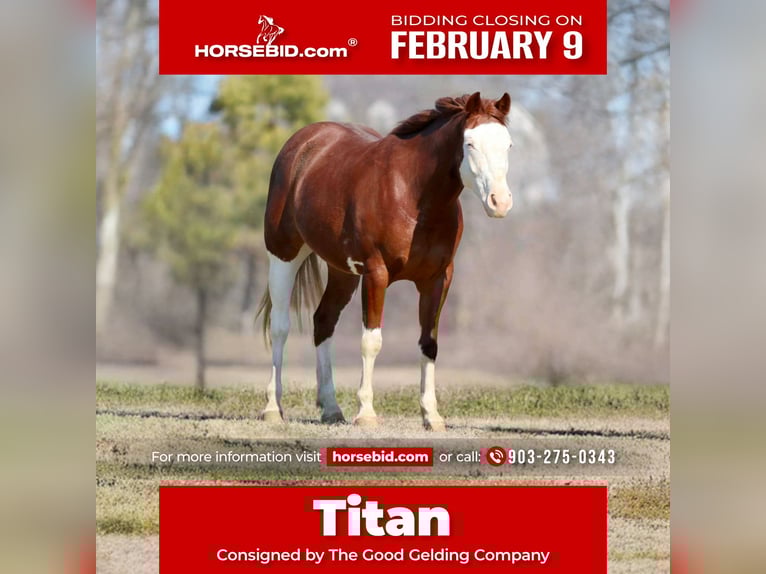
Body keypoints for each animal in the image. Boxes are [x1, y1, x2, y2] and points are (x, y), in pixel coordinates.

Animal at [256, 92, 514, 430]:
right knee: (280, 327)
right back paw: (273, 408)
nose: (500, 202)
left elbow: (429, 343)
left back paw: (331, 408)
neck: (412, 195)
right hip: (283, 255)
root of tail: (301, 144)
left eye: (508, 144)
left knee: (323, 321)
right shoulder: (376, 274)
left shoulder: (437, 279)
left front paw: (431, 415)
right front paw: (366, 413)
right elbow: (371, 341)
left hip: (343, 272)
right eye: (469, 143)